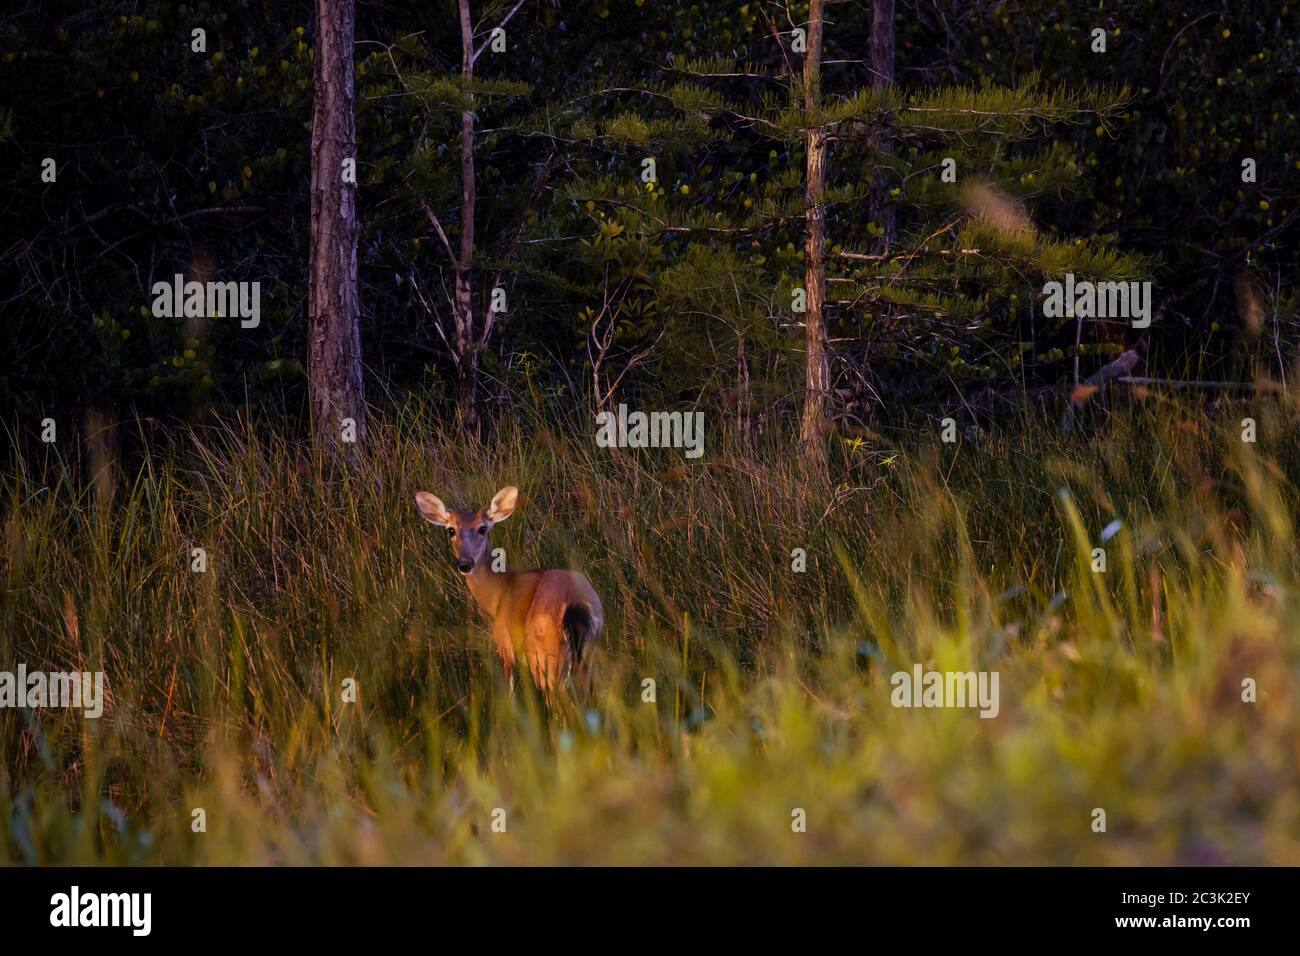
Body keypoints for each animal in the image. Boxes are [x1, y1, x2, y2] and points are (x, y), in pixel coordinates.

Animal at [410, 489, 603, 691]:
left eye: (482, 528)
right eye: (451, 530)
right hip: (588, 649)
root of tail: (576, 602)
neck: (500, 589)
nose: (465, 563)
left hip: (545, 652)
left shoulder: (505, 643)